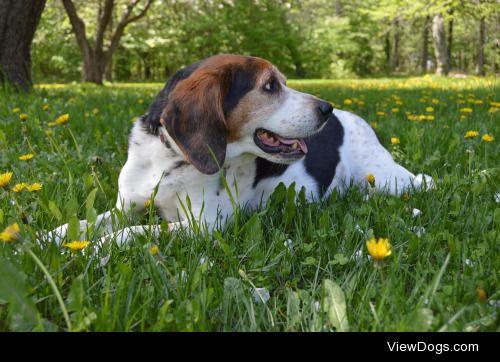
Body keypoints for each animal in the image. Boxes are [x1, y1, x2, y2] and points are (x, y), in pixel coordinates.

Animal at [48, 53, 436, 246]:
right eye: (270, 86)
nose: (326, 108)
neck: (170, 161)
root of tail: (353, 117)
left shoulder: (204, 225)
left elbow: (133, 232)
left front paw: (96, 250)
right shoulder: (124, 208)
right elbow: (84, 223)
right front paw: (45, 239)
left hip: (388, 178)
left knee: (426, 182)